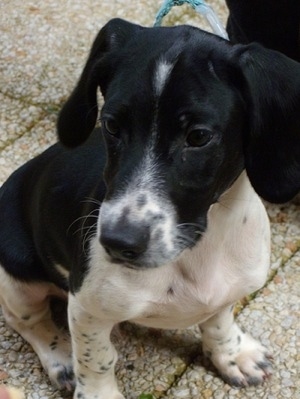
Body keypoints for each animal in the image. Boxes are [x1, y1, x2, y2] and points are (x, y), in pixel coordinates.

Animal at [0, 18, 300, 399]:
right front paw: (97, 391)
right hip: (17, 274)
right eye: (111, 125)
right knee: (28, 320)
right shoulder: (85, 306)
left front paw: (232, 354)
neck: (197, 250)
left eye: (198, 136)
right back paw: (61, 357)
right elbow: (97, 357)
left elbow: (219, 320)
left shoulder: (226, 291)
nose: (117, 243)